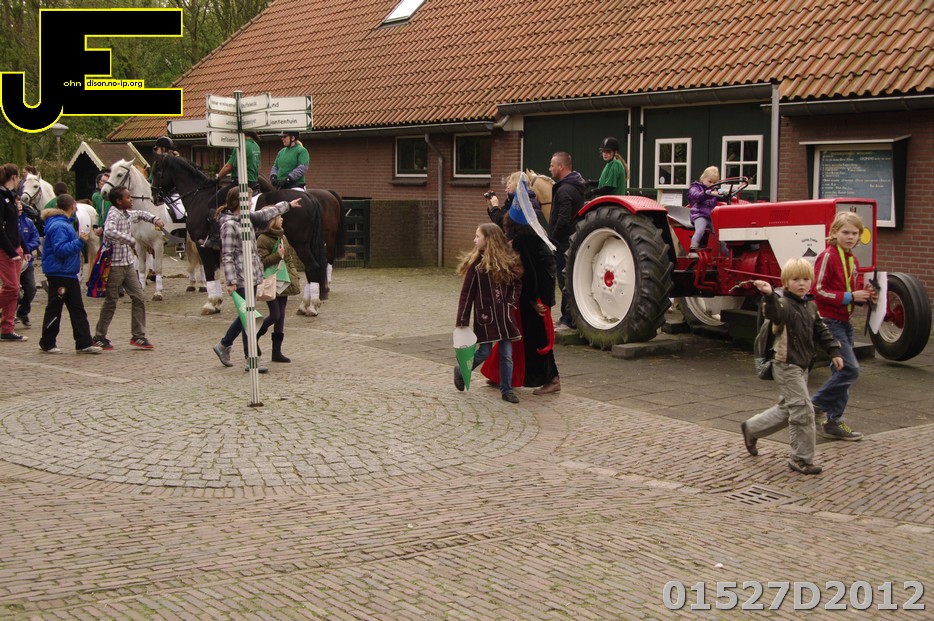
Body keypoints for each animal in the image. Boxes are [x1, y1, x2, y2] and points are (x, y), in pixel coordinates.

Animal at [150, 153, 328, 317]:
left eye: (157, 171)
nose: (154, 197)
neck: (198, 197)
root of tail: (309, 197)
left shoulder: (203, 246)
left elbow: (209, 271)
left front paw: (210, 303)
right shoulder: (215, 248)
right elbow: (215, 271)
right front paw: (217, 302)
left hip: (300, 244)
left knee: (312, 267)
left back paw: (311, 307)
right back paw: (306, 305)